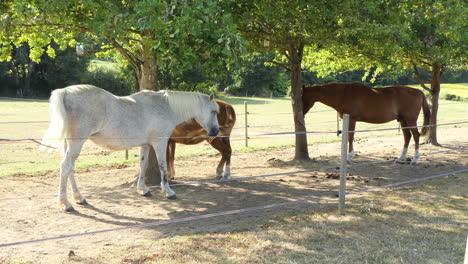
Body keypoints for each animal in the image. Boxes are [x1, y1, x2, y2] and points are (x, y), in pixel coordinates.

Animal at [40, 84, 219, 212]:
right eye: (214, 111)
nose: (216, 131)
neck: (165, 106)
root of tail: (65, 91)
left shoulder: (146, 145)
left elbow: (143, 165)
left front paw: (143, 189)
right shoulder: (160, 143)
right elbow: (163, 167)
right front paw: (168, 192)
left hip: (69, 144)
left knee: (69, 169)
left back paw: (79, 198)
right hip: (77, 143)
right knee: (65, 167)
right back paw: (65, 203)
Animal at [302, 82, 430, 165]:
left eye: (302, 97)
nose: (301, 113)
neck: (343, 94)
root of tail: (419, 91)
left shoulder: (352, 120)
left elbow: (350, 137)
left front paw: (349, 157)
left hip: (410, 119)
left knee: (416, 136)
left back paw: (415, 160)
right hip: (403, 120)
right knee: (407, 136)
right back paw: (401, 158)